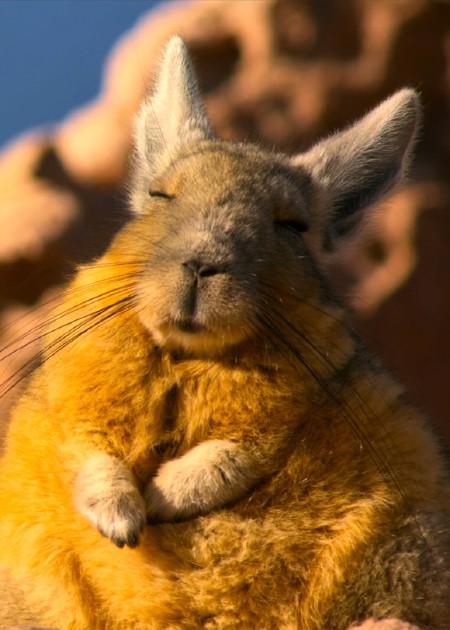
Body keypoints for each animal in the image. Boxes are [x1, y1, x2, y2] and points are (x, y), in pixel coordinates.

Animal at [0, 36, 449, 630]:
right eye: (160, 196)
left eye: (291, 225)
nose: (201, 264)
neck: (186, 356)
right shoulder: (74, 396)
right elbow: (91, 453)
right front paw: (123, 524)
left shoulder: (280, 414)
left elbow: (233, 456)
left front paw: (159, 503)